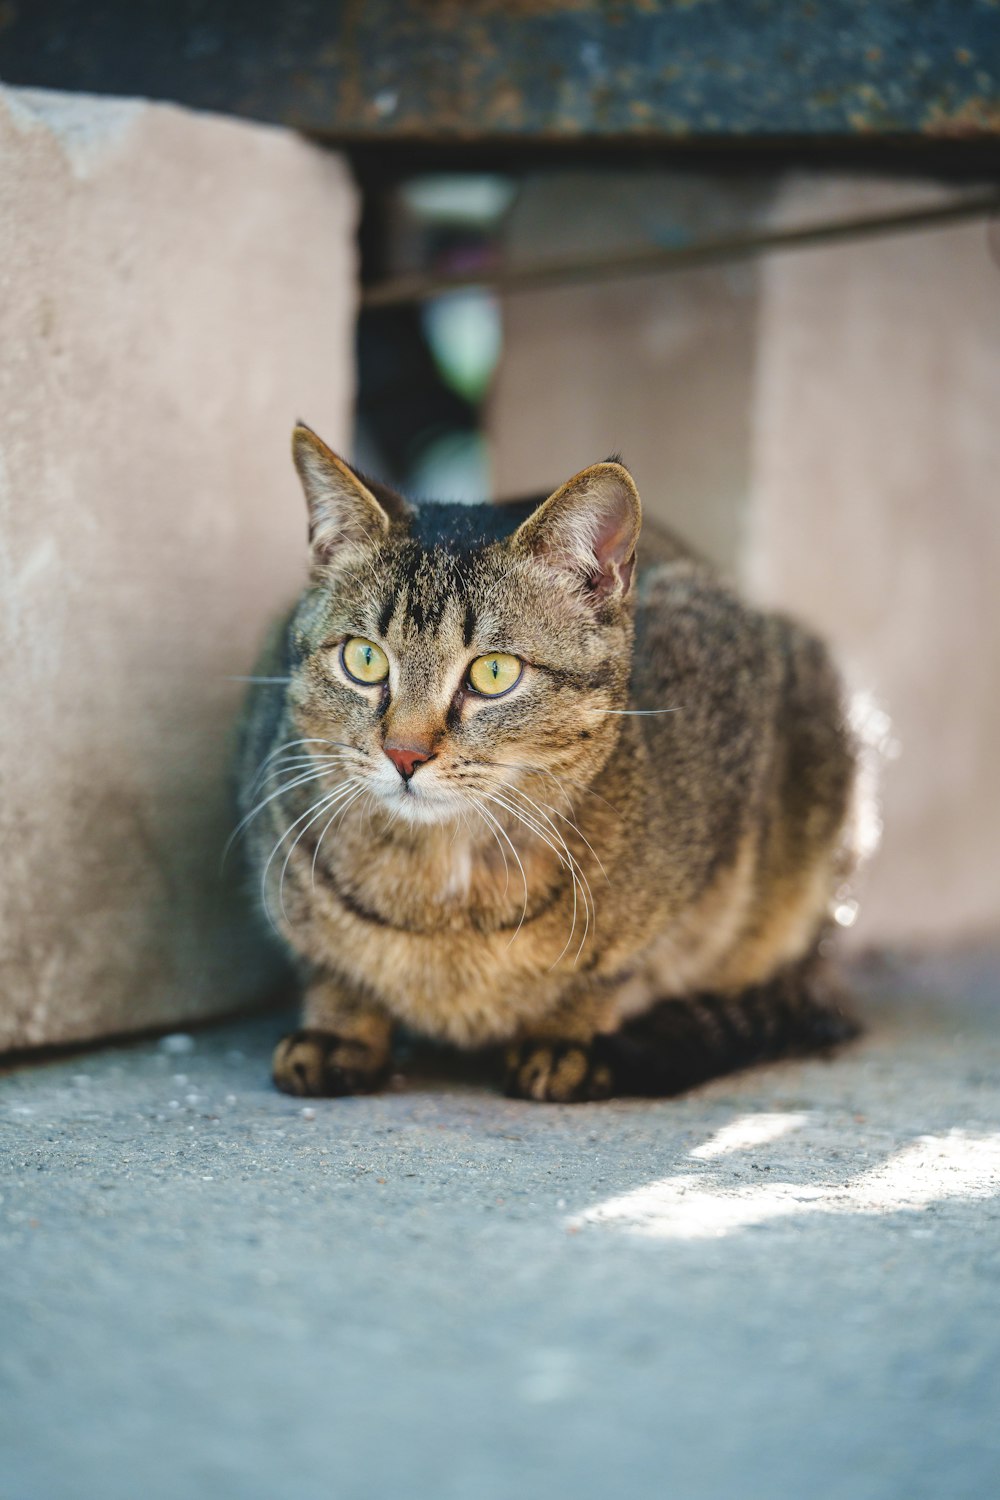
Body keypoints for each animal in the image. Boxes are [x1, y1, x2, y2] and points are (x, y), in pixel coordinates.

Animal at [236, 423, 869, 1104]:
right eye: (364, 659)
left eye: (493, 672)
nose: (404, 753)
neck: (443, 896)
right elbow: (330, 964)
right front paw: (341, 1028)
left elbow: (609, 971)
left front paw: (564, 1039)